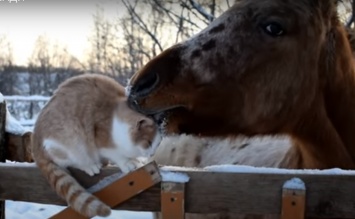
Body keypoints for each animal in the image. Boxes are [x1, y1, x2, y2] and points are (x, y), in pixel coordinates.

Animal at [31, 73, 162, 217]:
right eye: (148, 143)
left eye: (157, 144)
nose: (152, 153)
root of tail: (35, 141)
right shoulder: (102, 141)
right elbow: (116, 155)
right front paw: (127, 162)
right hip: (69, 142)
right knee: (71, 161)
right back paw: (90, 165)